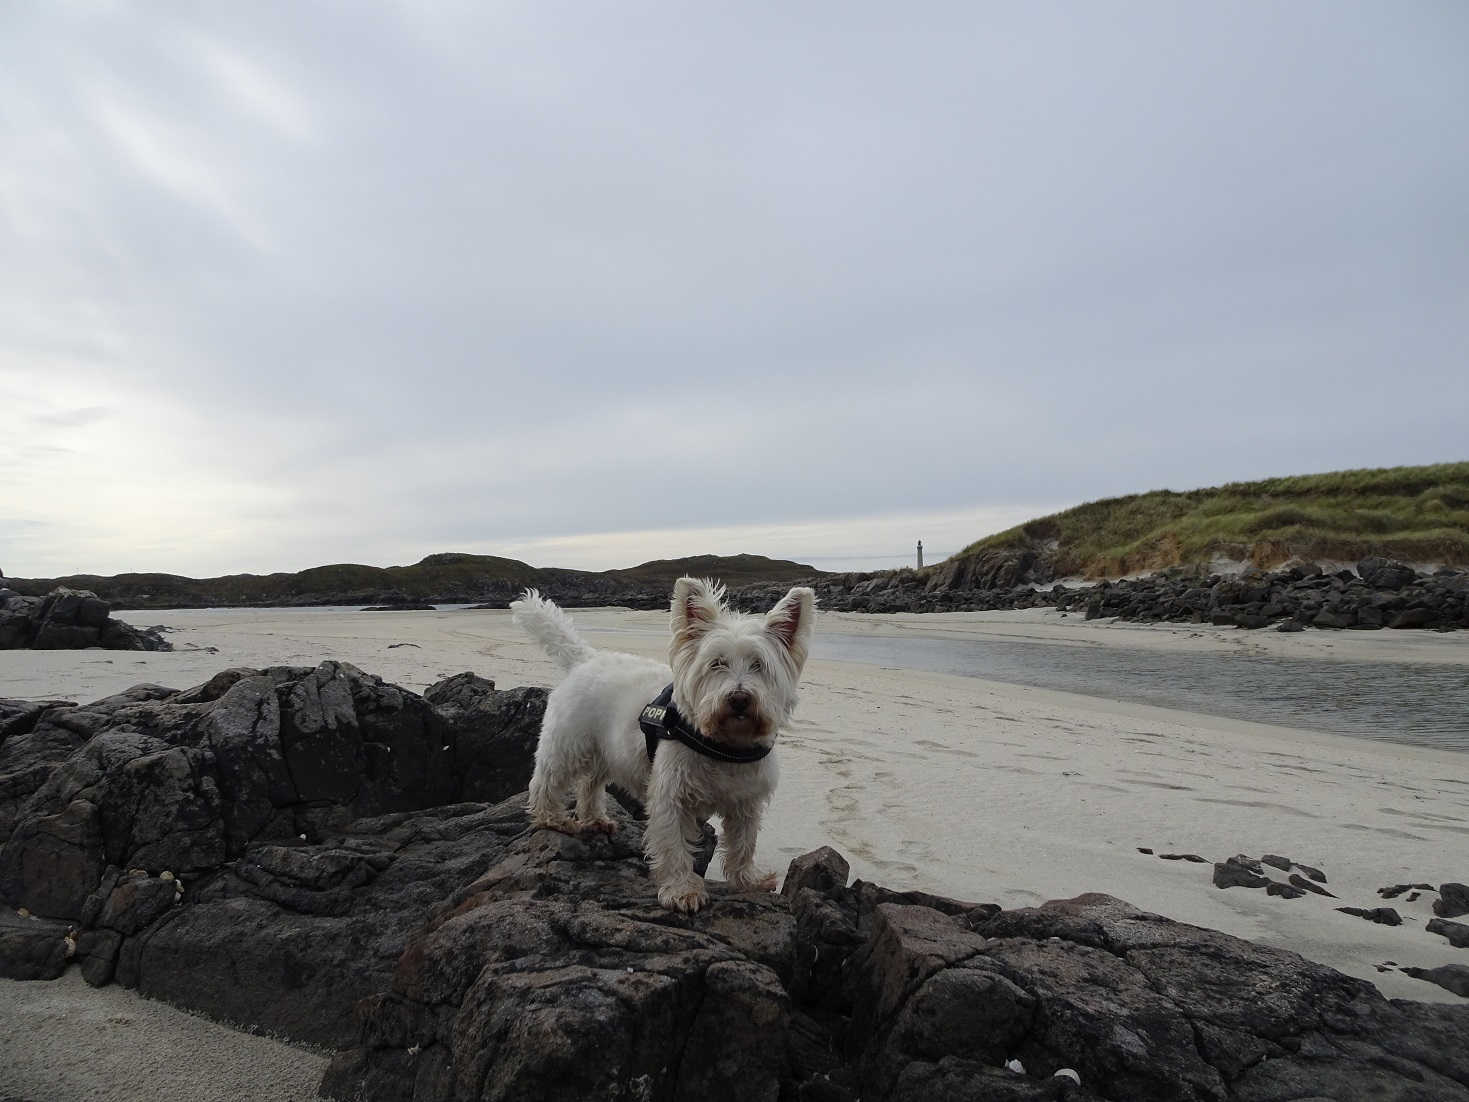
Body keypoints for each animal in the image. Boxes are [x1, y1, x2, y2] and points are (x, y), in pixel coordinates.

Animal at [511, 578, 816, 916]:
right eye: (717, 663)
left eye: (759, 665)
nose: (739, 699)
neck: (725, 745)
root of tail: (586, 659)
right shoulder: (672, 796)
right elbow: (673, 845)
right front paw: (682, 891)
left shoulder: (746, 802)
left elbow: (743, 844)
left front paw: (749, 880)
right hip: (568, 744)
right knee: (546, 781)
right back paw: (551, 818)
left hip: (607, 750)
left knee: (589, 783)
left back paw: (594, 819)